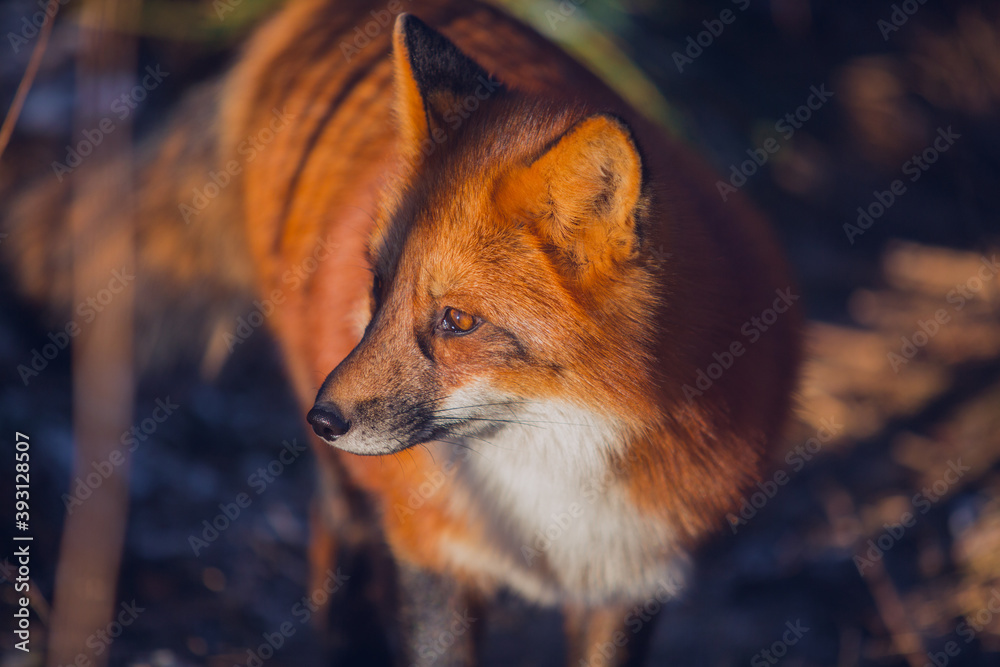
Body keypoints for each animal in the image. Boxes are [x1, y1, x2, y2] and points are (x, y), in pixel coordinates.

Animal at [2, 0, 801, 664]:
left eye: (459, 321)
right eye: (378, 289)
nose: (322, 419)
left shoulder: (630, 579)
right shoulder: (432, 556)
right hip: (349, 490)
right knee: (334, 546)